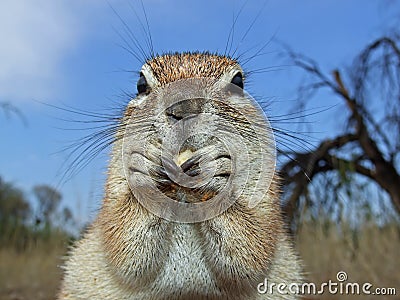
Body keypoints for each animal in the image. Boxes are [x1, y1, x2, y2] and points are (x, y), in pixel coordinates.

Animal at [57, 52, 304, 298]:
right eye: (141, 84)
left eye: (237, 82)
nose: (184, 108)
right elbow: (122, 243)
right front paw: (147, 167)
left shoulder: (265, 194)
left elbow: (254, 248)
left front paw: (216, 169)